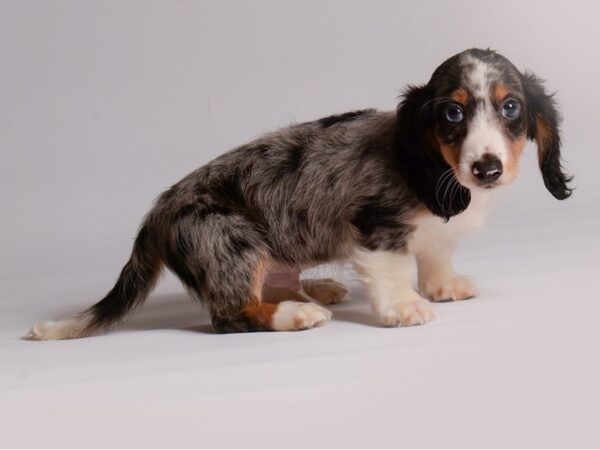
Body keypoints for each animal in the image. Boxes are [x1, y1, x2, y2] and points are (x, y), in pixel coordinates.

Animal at [28, 47, 572, 340]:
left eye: (511, 107)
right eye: (452, 113)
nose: (486, 169)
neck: (435, 168)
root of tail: (157, 213)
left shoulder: (436, 233)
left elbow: (436, 254)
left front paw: (445, 286)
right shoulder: (377, 227)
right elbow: (394, 269)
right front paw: (405, 308)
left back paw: (315, 288)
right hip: (232, 243)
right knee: (232, 315)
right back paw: (297, 312)